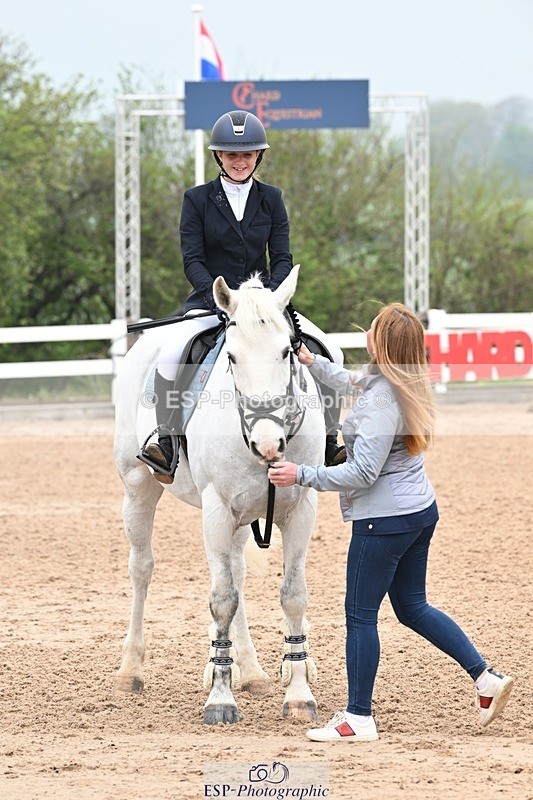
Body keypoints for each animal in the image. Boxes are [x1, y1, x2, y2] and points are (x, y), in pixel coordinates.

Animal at [113, 266, 327, 724]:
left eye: (287, 352)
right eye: (231, 357)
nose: (268, 444)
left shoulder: (300, 509)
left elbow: (292, 596)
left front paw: (298, 693)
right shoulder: (216, 510)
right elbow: (222, 600)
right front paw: (221, 698)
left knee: (237, 572)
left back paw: (252, 671)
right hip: (138, 488)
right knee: (142, 568)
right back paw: (130, 671)